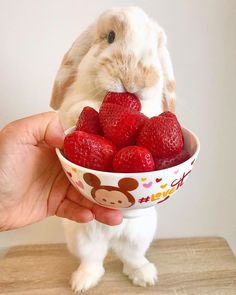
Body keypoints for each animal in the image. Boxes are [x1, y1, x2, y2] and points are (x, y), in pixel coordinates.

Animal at [50, 6, 175, 294]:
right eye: (109, 37)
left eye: (154, 48)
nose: (133, 80)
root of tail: (113, 235)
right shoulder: (70, 110)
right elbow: (78, 110)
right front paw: (90, 111)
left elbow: (150, 113)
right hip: (81, 236)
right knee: (93, 259)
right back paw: (82, 282)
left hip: (141, 233)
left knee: (131, 257)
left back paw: (145, 276)